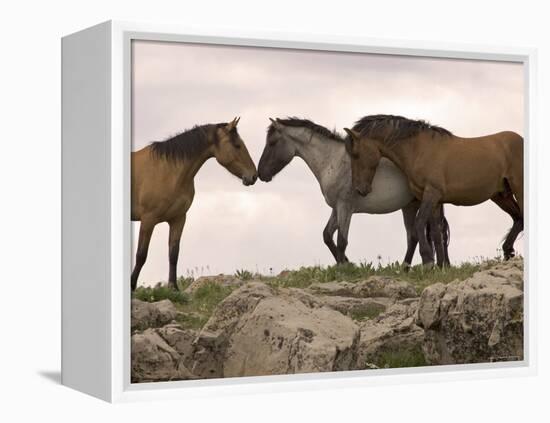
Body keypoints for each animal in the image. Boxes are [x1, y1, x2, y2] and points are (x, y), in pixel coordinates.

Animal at [132, 119, 258, 292]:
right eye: (237, 145)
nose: (254, 176)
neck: (167, 171)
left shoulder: (178, 219)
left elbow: (173, 254)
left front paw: (174, 288)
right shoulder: (148, 219)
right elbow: (141, 255)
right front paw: (131, 286)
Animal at [258, 117, 448, 266]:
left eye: (272, 143)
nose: (260, 173)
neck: (333, 161)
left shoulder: (345, 207)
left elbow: (342, 240)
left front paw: (345, 267)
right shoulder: (336, 208)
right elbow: (327, 235)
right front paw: (346, 263)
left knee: (432, 233)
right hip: (411, 206)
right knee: (419, 235)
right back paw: (413, 267)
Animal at [344, 115, 528, 268]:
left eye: (356, 154)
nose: (360, 189)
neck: (418, 149)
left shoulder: (432, 194)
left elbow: (419, 223)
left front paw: (428, 261)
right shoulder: (435, 200)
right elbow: (436, 232)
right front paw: (441, 266)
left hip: (519, 189)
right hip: (501, 196)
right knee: (519, 218)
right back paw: (507, 251)